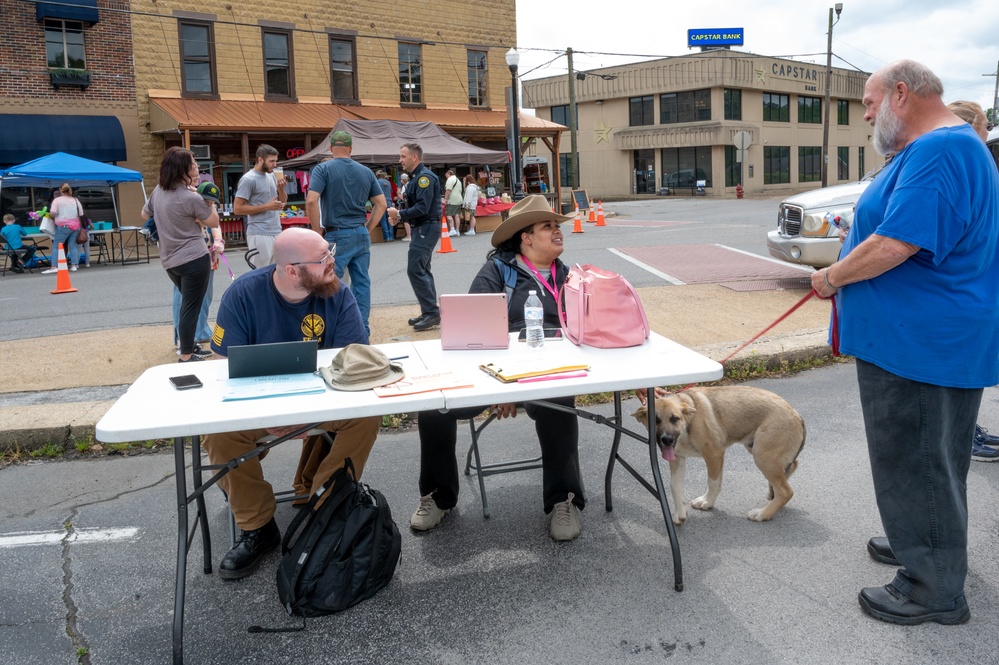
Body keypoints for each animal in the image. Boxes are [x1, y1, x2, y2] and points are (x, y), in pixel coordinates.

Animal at [636, 386, 808, 520]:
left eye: (674, 419)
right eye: (655, 420)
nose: (667, 440)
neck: (688, 421)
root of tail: (796, 413)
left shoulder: (714, 454)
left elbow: (713, 483)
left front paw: (707, 502)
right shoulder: (678, 459)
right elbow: (674, 486)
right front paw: (680, 512)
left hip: (762, 456)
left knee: (786, 491)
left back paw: (762, 514)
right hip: (758, 449)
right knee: (792, 466)